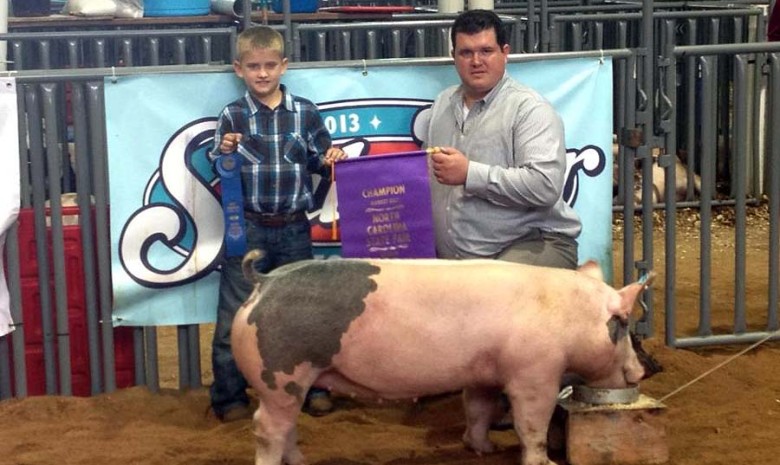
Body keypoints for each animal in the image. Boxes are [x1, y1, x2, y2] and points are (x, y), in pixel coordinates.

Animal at [232, 252, 652, 464]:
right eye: (624, 323)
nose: (639, 373)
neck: (568, 313)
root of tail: (263, 282)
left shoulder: (481, 374)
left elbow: (478, 410)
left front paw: (485, 449)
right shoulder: (534, 375)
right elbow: (531, 426)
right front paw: (544, 462)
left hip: (290, 383)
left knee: (287, 425)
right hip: (280, 373)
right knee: (266, 427)